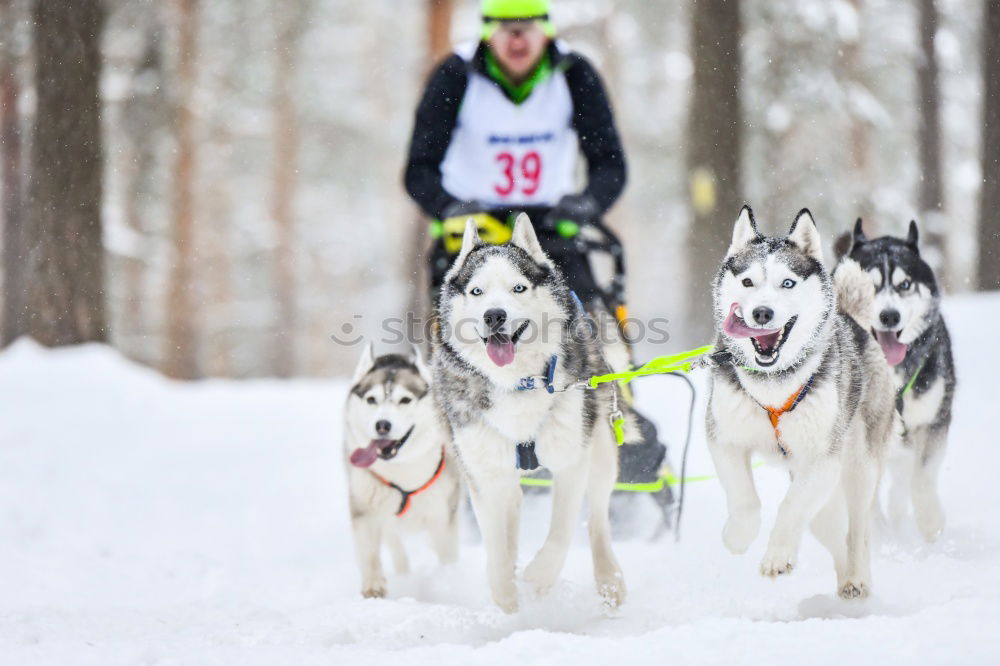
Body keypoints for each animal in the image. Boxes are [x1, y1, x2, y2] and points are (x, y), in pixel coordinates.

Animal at [340, 342, 458, 596]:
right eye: (371, 400)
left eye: (405, 400)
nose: (382, 425)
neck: (401, 469)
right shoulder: (364, 509)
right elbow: (370, 554)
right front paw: (373, 586)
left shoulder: (443, 515)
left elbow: (447, 554)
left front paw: (450, 579)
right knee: (394, 544)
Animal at [434, 214, 628, 612]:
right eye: (477, 292)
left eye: (519, 288)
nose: (495, 315)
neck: (517, 384)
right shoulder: (483, 472)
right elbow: (494, 540)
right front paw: (505, 592)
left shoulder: (572, 460)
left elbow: (562, 530)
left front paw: (539, 578)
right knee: (514, 508)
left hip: (601, 448)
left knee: (598, 518)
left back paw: (609, 579)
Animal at [704, 206, 900, 596]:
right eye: (747, 282)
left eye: (787, 283)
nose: (762, 313)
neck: (772, 385)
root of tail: (851, 319)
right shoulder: (724, 438)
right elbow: (744, 500)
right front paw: (738, 536)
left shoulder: (823, 460)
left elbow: (791, 506)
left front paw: (778, 555)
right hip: (824, 500)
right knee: (834, 531)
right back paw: (844, 578)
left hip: (858, 467)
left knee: (858, 530)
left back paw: (857, 578)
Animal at [848, 220, 956, 544]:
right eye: (868, 285)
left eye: (904, 285)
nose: (889, 316)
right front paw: (877, 531)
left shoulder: (934, 421)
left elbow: (922, 477)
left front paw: (930, 521)